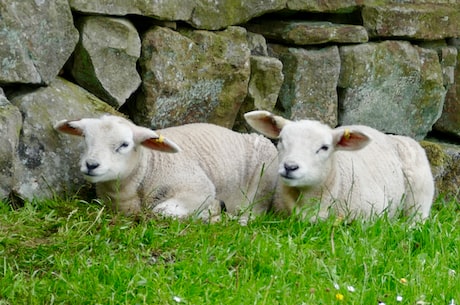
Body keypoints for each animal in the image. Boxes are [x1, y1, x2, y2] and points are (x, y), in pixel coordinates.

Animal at [54, 115, 276, 222]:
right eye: (85, 137)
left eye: (124, 144)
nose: (91, 164)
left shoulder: (199, 188)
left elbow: (161, 211)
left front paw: (210, 211)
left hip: (259, 192)